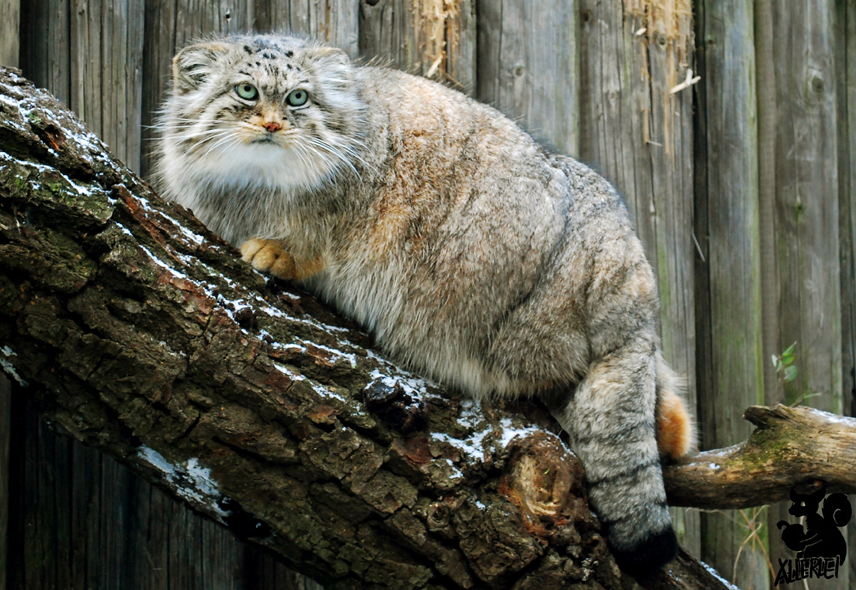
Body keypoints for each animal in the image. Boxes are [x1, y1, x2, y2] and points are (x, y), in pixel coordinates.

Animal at [157, 33, 696, 580]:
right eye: (246, 91)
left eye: (298, 98)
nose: (272, 124)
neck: (257, 182)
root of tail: (627, 265)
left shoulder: (343, 204)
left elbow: (312, 241)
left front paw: (278, 250)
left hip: (518, 326)